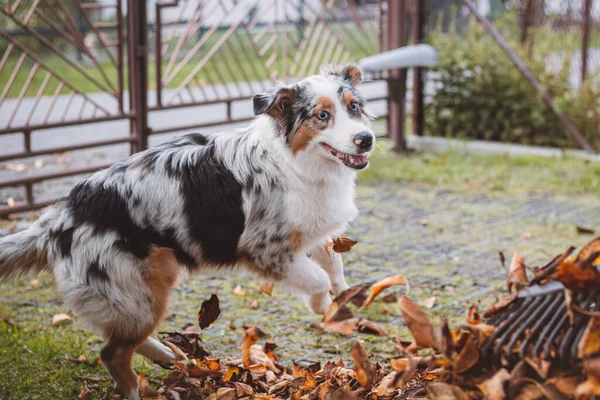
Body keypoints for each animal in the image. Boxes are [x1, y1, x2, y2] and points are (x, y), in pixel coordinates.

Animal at [0, 64, 376, 398]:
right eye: (322, 116)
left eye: (354, 107)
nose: (366, 139)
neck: (295, 163)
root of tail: (59, 217)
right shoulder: (267, 251)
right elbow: (317, 278)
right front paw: (322, 305)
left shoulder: (307, 230)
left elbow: (333, 262)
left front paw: (343, 295)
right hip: (135, 291)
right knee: (112, 352)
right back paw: (138, 389)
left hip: (151, 281)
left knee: (120, 338)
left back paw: (167, 355)